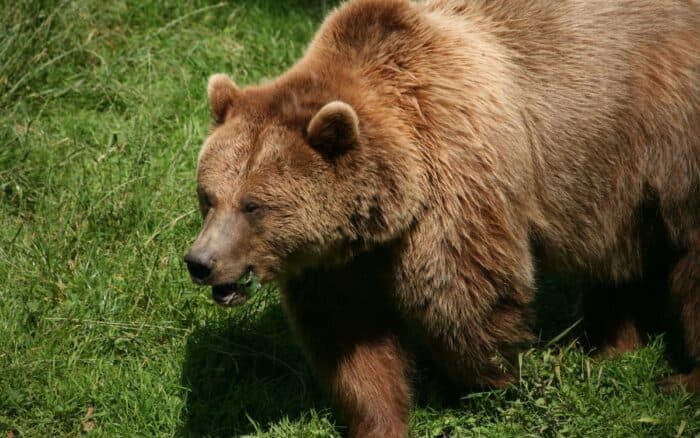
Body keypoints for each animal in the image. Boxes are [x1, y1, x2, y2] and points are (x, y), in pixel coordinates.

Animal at [184, 0, 700, 436]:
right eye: (209, 197)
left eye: (254, 206)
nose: (200, 262)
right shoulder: (336, 258)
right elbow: (350, 337)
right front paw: (379, 418)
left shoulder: (454, 182)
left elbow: (463, 299)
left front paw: (483, 384)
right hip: (616, 187)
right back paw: (609, 344)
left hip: (663, 140)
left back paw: (676, 378)